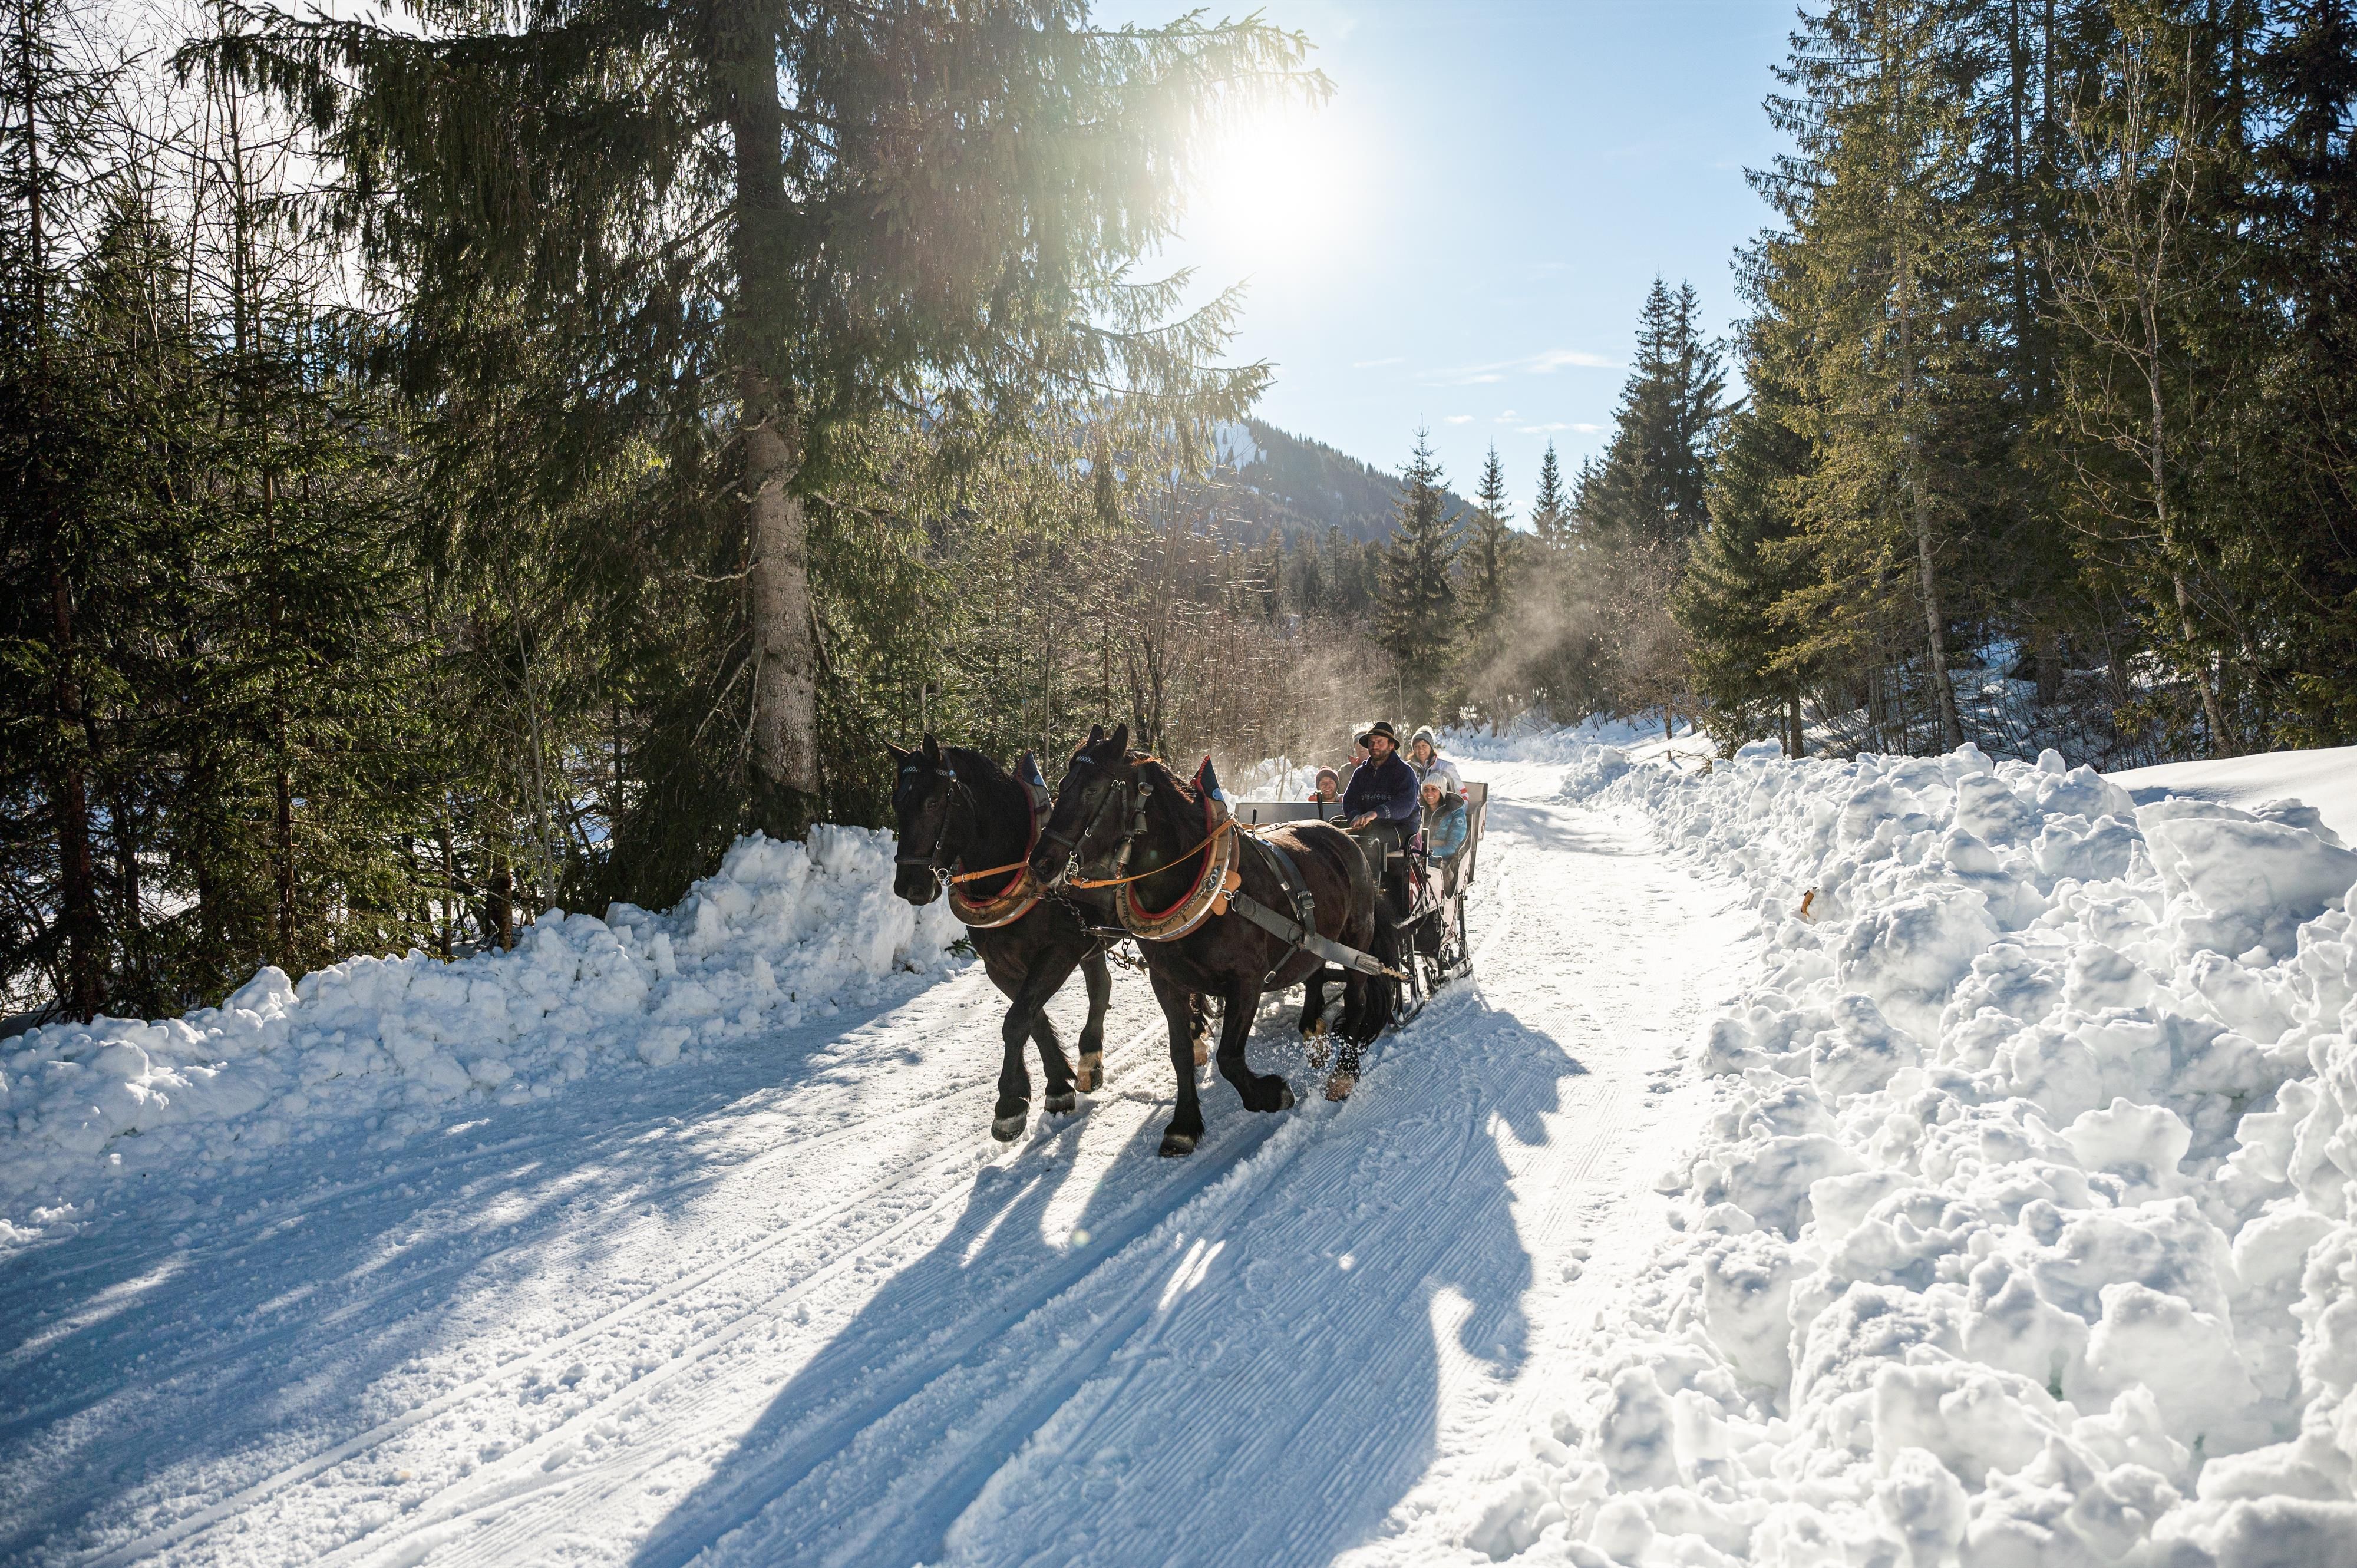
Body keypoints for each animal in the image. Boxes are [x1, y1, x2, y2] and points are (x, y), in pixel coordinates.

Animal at [888, 736, 1113, 1141]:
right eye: (898, 802)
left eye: (933, 802)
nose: (908, 886)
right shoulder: (1000, 967)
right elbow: (1032, 1020)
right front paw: (1057, 1086)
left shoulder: (1060, 952)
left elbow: (1017, 1020)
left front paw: (1009, 1105)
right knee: (1101, 986)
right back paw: (1091, 1059)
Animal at [1030, 724, 1384, 1157]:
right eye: (1062, 786)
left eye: (1093, 789)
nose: (1040, 862)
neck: (1196, 884)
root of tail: (1343, 833)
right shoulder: (1167, 981)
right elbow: (1181, 1052)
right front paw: (1184, 1125)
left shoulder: (1246, 981)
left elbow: (1229, 1056)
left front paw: (1270, 1094)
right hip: (1314, 942)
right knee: (1314, 973)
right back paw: (1314, 1033)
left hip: (1358, 939)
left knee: (1358, 998)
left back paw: (1345, 1071)